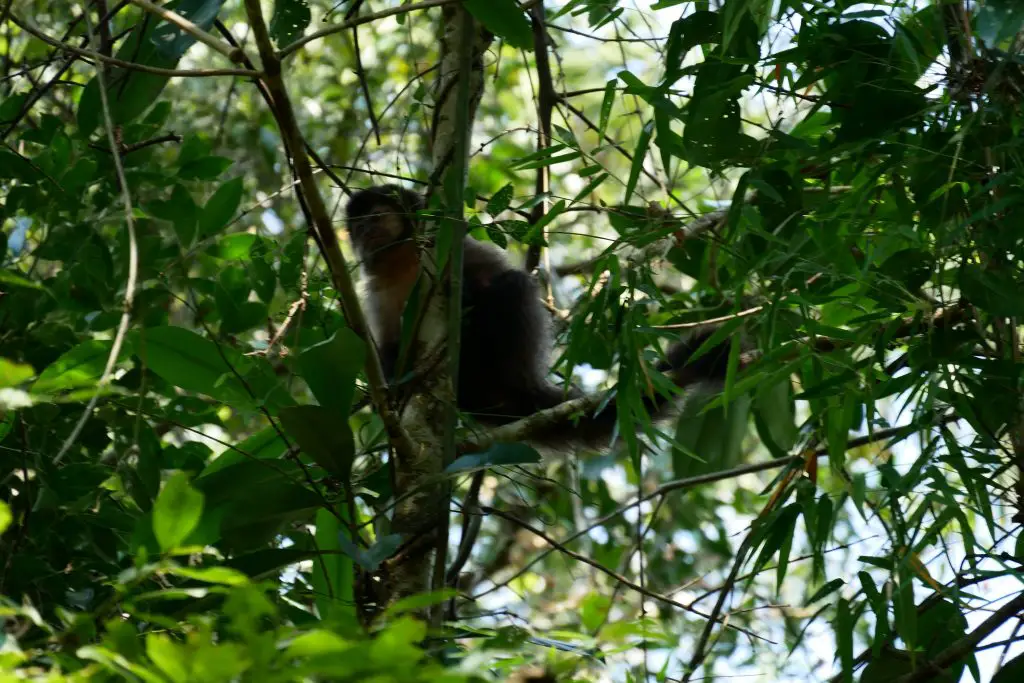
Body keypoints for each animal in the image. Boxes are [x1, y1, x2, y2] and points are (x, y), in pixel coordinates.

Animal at [346, 184, 737, 448]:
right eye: (357, 227)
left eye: (375, 217)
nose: (364, 233)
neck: (402, 259)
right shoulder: (377, 289)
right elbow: (387, 349)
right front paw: (393, 384)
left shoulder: (449, 245)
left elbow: (489, 278)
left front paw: (469, 299)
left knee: (511, 287)